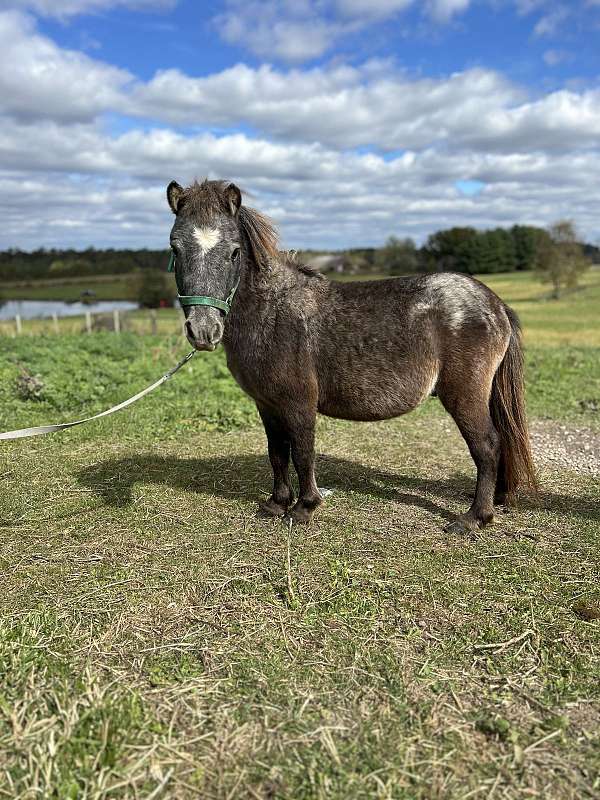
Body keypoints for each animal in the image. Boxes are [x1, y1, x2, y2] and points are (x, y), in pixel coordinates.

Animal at [166, 180, 536, 532]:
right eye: (175, 248)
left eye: (234, 252)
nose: (203, 331)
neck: (272, 310)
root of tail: (495, 303)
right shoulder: (266, 404)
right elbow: (277, 452)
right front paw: (276, 504)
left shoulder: (298, 403)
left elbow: (302, 452)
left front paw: (303, 508)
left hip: (465, 395)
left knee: (487, 446)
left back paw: (473, 518)